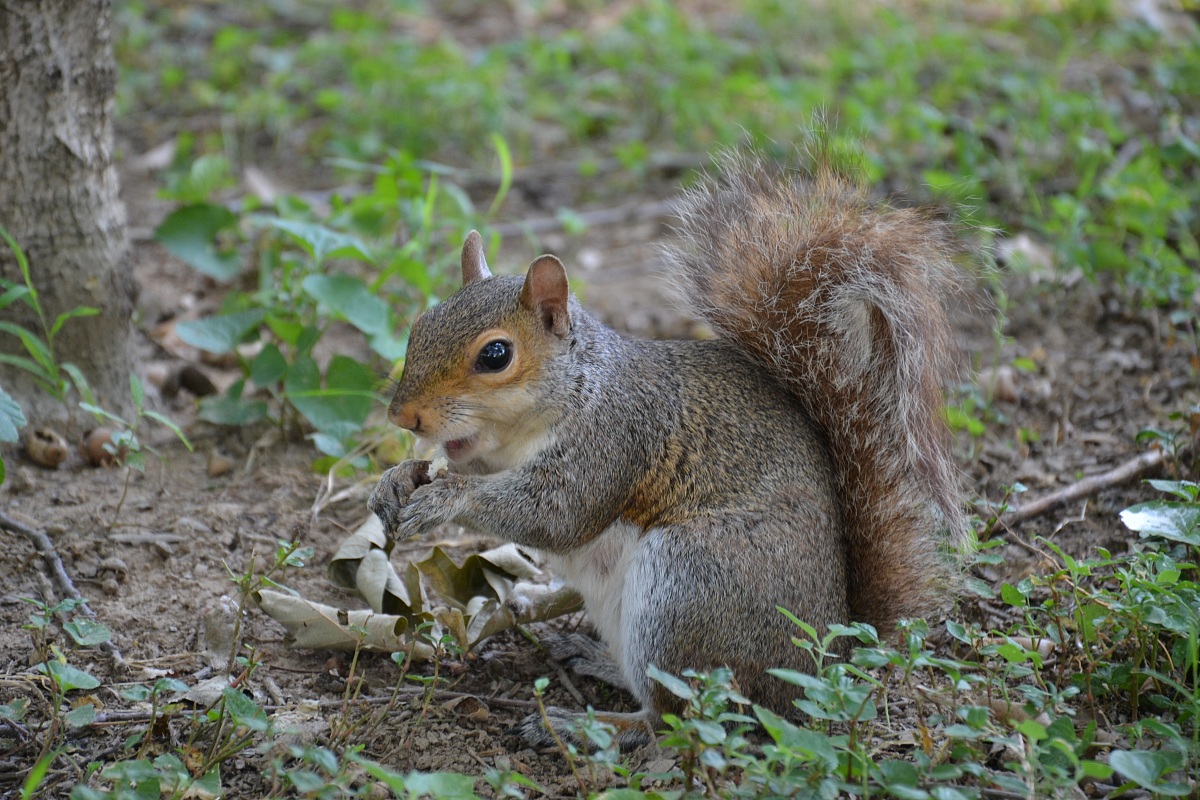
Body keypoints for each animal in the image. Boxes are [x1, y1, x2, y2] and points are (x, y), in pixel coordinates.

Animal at [368, 150, 970, 749]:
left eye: (495, 355)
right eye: (420, 324)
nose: (403, 415)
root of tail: (827, 661)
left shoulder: (616, 436)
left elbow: (559, 513)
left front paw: (446, 498)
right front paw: (399, 479)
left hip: (689, 588)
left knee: (676, 716)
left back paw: (580, 724)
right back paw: (593, 658)